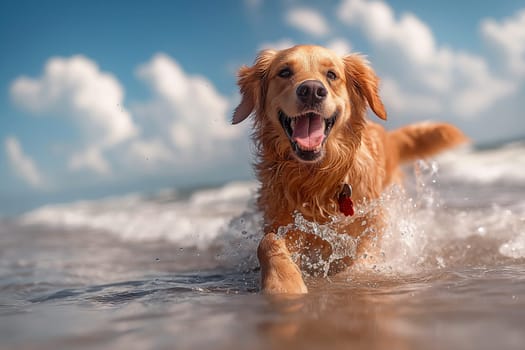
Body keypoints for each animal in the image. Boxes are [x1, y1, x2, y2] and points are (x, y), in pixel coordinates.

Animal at [231, 45, 464, 294]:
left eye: (332, 75)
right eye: (284, 72)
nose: (311, 90)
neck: (318, 175)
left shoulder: (371, 220)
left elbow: (363, 254)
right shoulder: (284, 221)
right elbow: (268, 242)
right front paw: (283, 283)